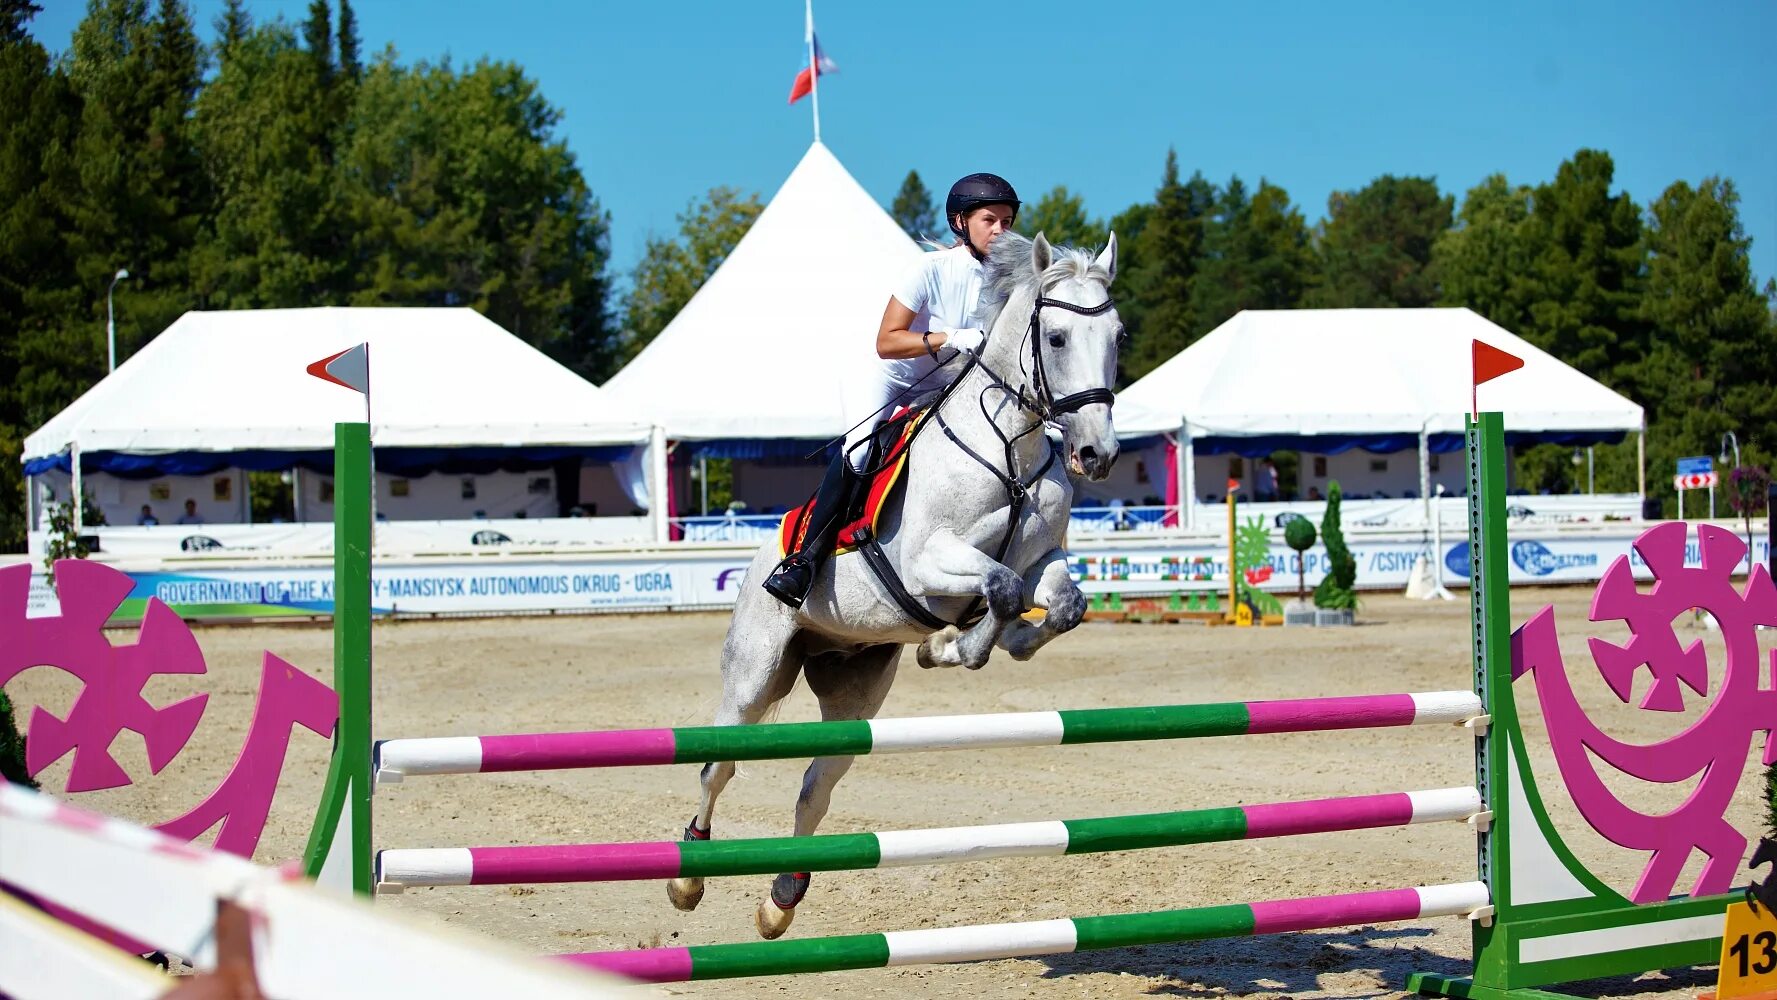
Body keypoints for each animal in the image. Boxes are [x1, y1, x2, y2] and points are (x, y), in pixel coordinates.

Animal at [668, 232, 1123, 937]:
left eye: (1118, 335)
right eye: (1056, 338)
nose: (1097, 454)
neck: (1010, 448)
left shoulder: (1041, 560)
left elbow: (1058, 603)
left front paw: (966, 646)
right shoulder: (927, 564)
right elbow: (999, 588)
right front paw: (955, 646)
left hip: (855, 692)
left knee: (815, 786)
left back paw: (780, 901)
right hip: (753, 672)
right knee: (720, 765)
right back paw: (688, 878)